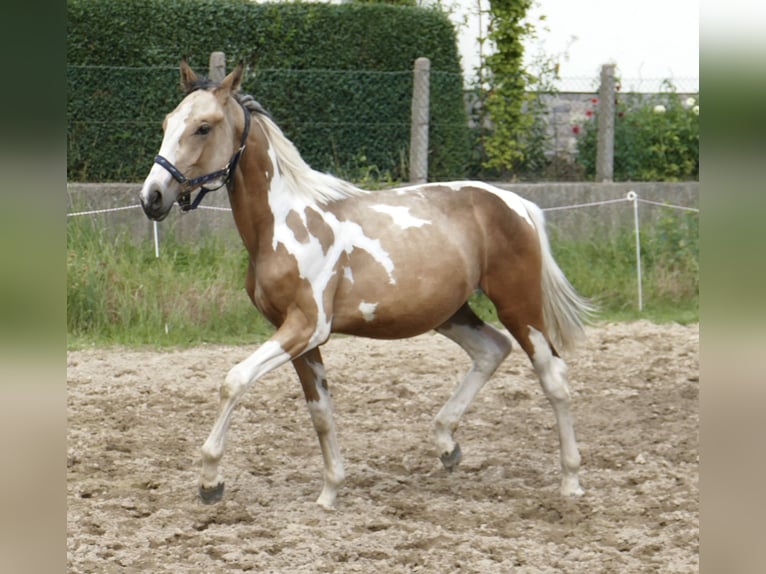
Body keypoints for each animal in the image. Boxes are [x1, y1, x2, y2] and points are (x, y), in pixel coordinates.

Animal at [140, 60, 593, 509]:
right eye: (166, 122)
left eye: (203, 127)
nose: (152, 197)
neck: (283, 223)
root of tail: (520, 205)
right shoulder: (297, 335)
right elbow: (320, 412)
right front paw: (329, 492)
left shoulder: (306, 326)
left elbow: (234, 380)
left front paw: (210, 482)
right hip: (450, 312)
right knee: (492, 349)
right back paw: (447, 446)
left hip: (518, 305)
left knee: (553, 377)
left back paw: (570, 482)